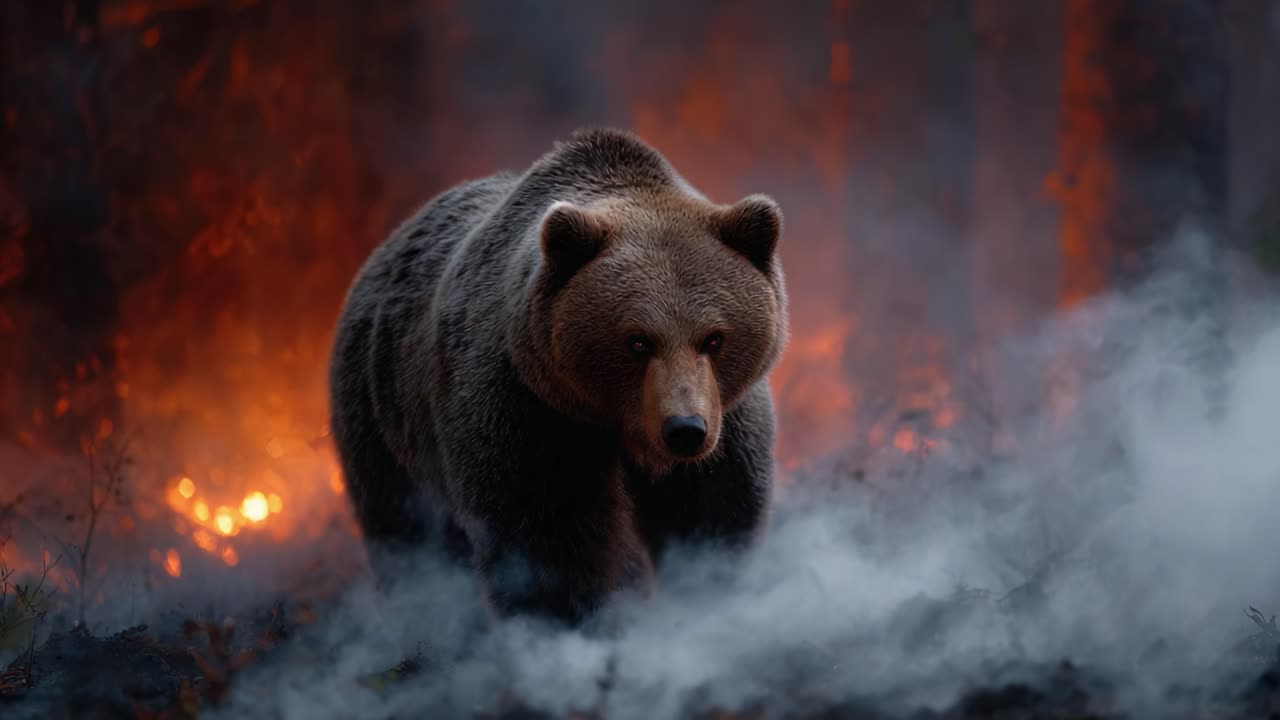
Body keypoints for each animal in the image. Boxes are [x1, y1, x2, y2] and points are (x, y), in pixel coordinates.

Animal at [328, 127, 788, 625]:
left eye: (714, 338)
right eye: (638, 341)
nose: (684, 429)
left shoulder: (726, 420)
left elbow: (714, 513)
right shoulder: (523, 410)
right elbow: (546, 538)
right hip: (380, 415)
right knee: (407, 535)